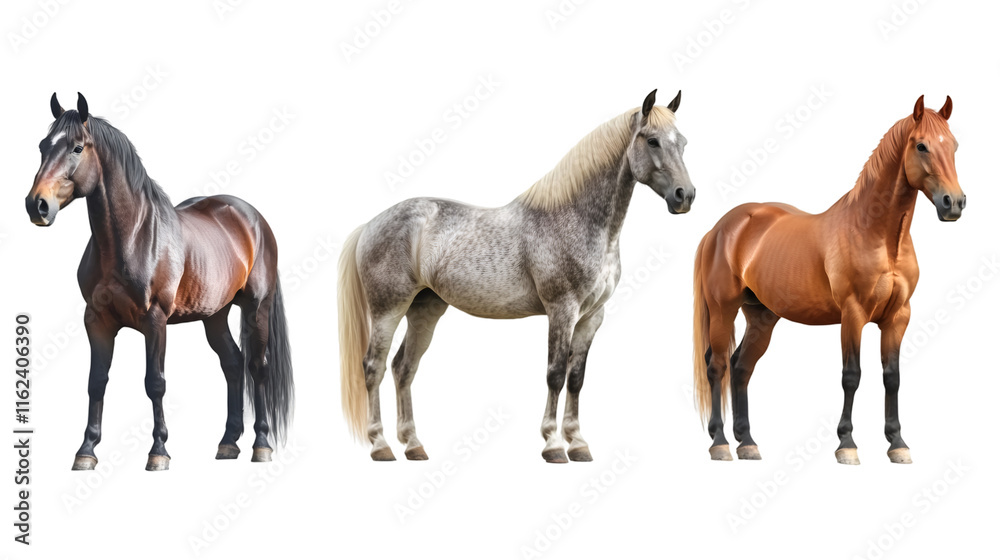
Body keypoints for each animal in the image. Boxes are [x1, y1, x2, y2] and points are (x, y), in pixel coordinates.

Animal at [25, 93, 294, 471]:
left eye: (77, 147)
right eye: (42, 146)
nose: (37, 205)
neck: (130, 238)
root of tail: (253, 218)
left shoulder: (155, 321)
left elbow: (155, 383)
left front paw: (159, 451)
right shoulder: (96, 321)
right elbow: (96, 382)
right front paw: (86, 451)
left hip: (257, 307)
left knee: (257, 367)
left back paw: (261, 445)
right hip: (215, 314)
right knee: (233, 363)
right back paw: (228, 443)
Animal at [339, 89, 695, 462]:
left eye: (683, 142)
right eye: (652, 141)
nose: (685, 196)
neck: (575, 218)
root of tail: (370, 224)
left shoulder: (592, 317)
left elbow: (576, 378)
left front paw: (578, 443)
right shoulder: (562, 310)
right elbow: (555, 375)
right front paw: (553, 445)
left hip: (425, 310)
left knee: (403, 368)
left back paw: (413, 445)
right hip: (388, 309)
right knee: (374, 367)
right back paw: (380, 446)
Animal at [692, 95, 965, 464]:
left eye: (953, 145)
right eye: (921, 145)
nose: (954, 203)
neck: (878, 235)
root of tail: (720, 228)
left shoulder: (898, 317)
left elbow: (891, 377)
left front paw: (897, 444)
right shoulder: (853, 315)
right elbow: (852, 376)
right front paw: (846, 444)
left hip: (762, 316)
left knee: (740, 366)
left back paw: (747, 442)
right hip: (723, 310)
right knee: (718, 366)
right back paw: (720, 442)